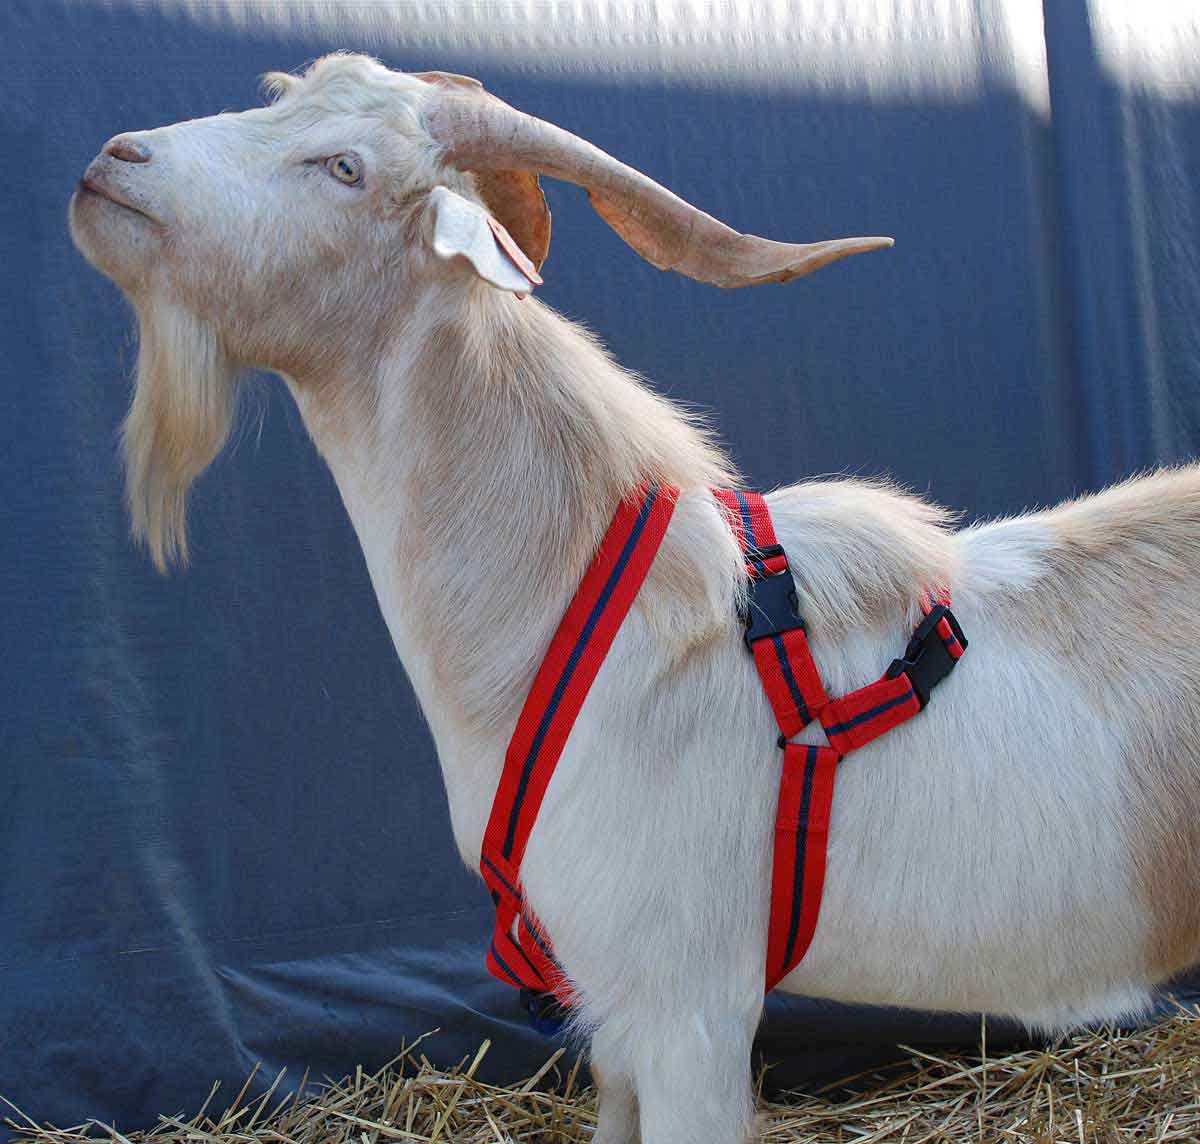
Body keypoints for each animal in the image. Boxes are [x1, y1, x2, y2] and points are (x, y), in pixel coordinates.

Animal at [69, 52, 1200, 1144]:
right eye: (280, 99)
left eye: (344, 166)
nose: (113, 162)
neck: (588, 608)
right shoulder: (611, 1012)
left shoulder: (691, 1010)